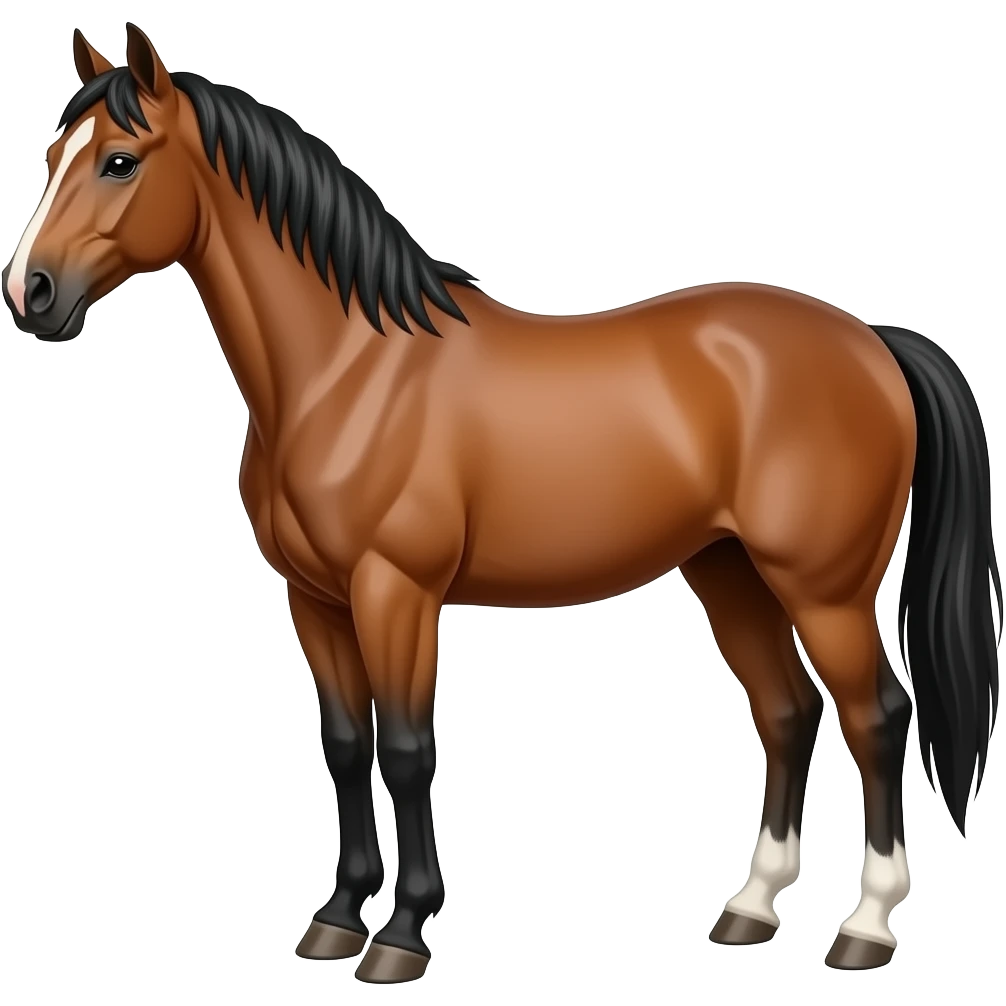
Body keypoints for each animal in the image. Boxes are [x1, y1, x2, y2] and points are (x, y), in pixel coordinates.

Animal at [3, 24, 1000, 982]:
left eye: (119, 161)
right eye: (52, 156)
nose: (30, 293)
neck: (347, 371)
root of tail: (871, 340)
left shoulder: (395, 591)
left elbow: (408, 750)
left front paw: (402, 934)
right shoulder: (314, 598)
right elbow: (346, 746)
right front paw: (336, 918)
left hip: (823, 590)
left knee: (877, 719)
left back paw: (865, 928)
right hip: (730, 572)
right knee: (786, 712)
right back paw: (751, 910)